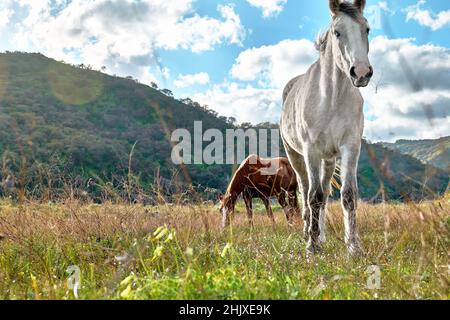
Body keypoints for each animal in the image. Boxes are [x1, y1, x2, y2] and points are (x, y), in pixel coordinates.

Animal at [282, 0, 372, 255]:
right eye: (337, 32)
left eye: (367, 29)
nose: (361, 73)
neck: (331, 97)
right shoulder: (311, 150)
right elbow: (313, 196)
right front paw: (311, 248)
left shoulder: (350, 147)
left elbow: (348, 196)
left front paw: (353, 247)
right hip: (296, 156)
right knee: (306, 191)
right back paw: (308, 233)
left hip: (329, 160)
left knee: (323, 192)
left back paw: (320, 235)